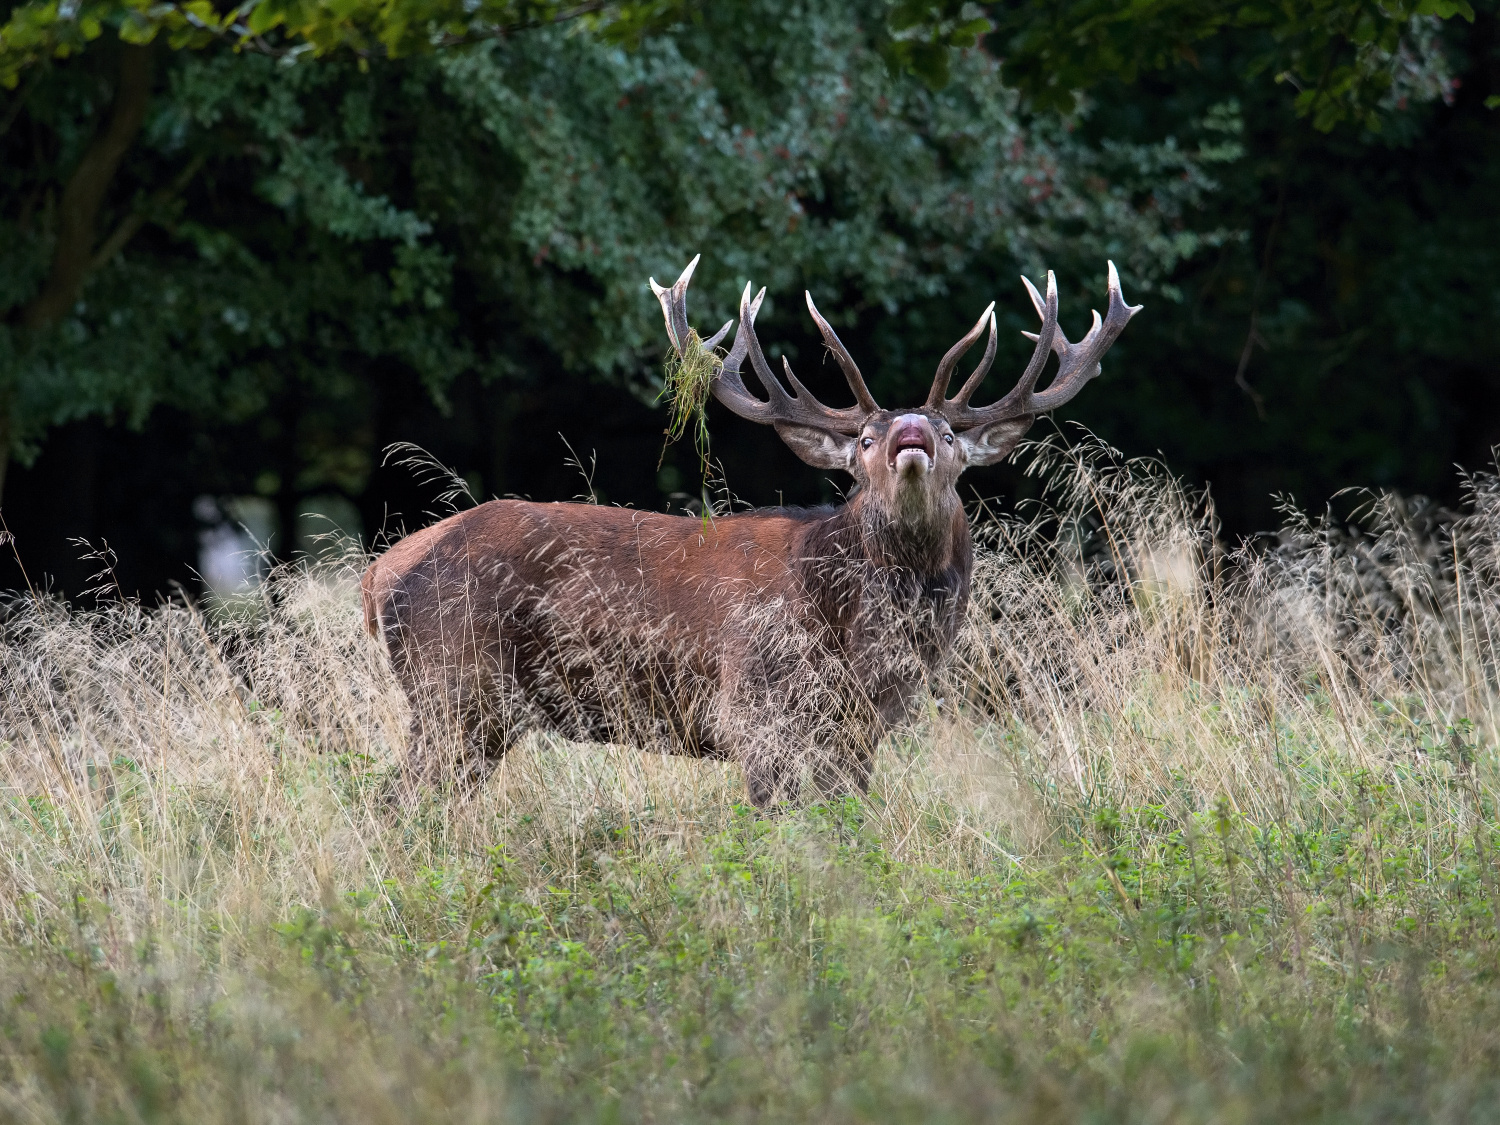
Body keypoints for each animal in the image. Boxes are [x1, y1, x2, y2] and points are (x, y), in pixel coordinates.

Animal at [363, 253, 1134, 810]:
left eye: (949, 435)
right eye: (863, 439)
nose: (911, 433)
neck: (858, 637)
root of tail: (377, 577)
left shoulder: (857, 734)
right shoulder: (757, 712)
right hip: (455, 686)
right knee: (399, 802)